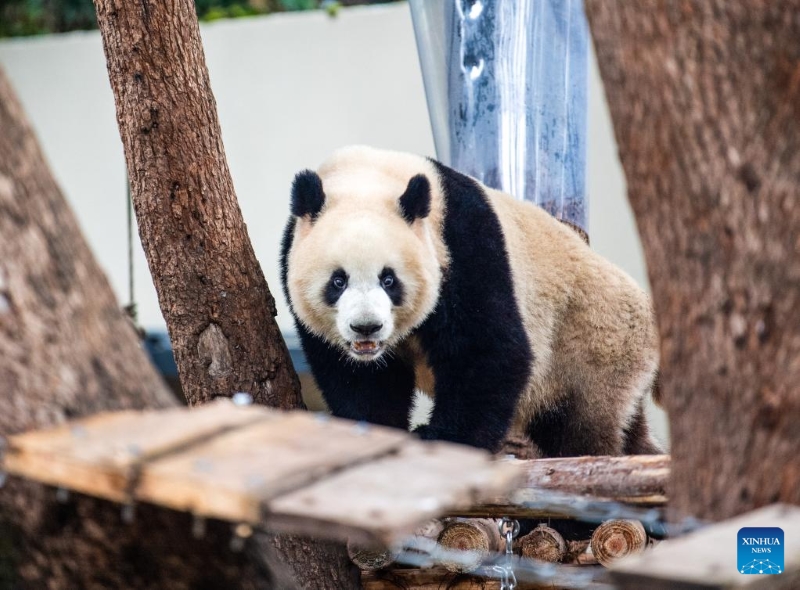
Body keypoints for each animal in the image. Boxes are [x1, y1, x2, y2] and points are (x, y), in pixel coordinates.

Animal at [281, 145, 662, 456]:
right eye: (338, 281)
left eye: (389, 280)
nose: (366, 328)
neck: (367, 177)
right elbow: (359, 379)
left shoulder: (462, 244)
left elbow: (488, 349)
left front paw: (440, 438)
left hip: (589, 344)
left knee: (579, 425)